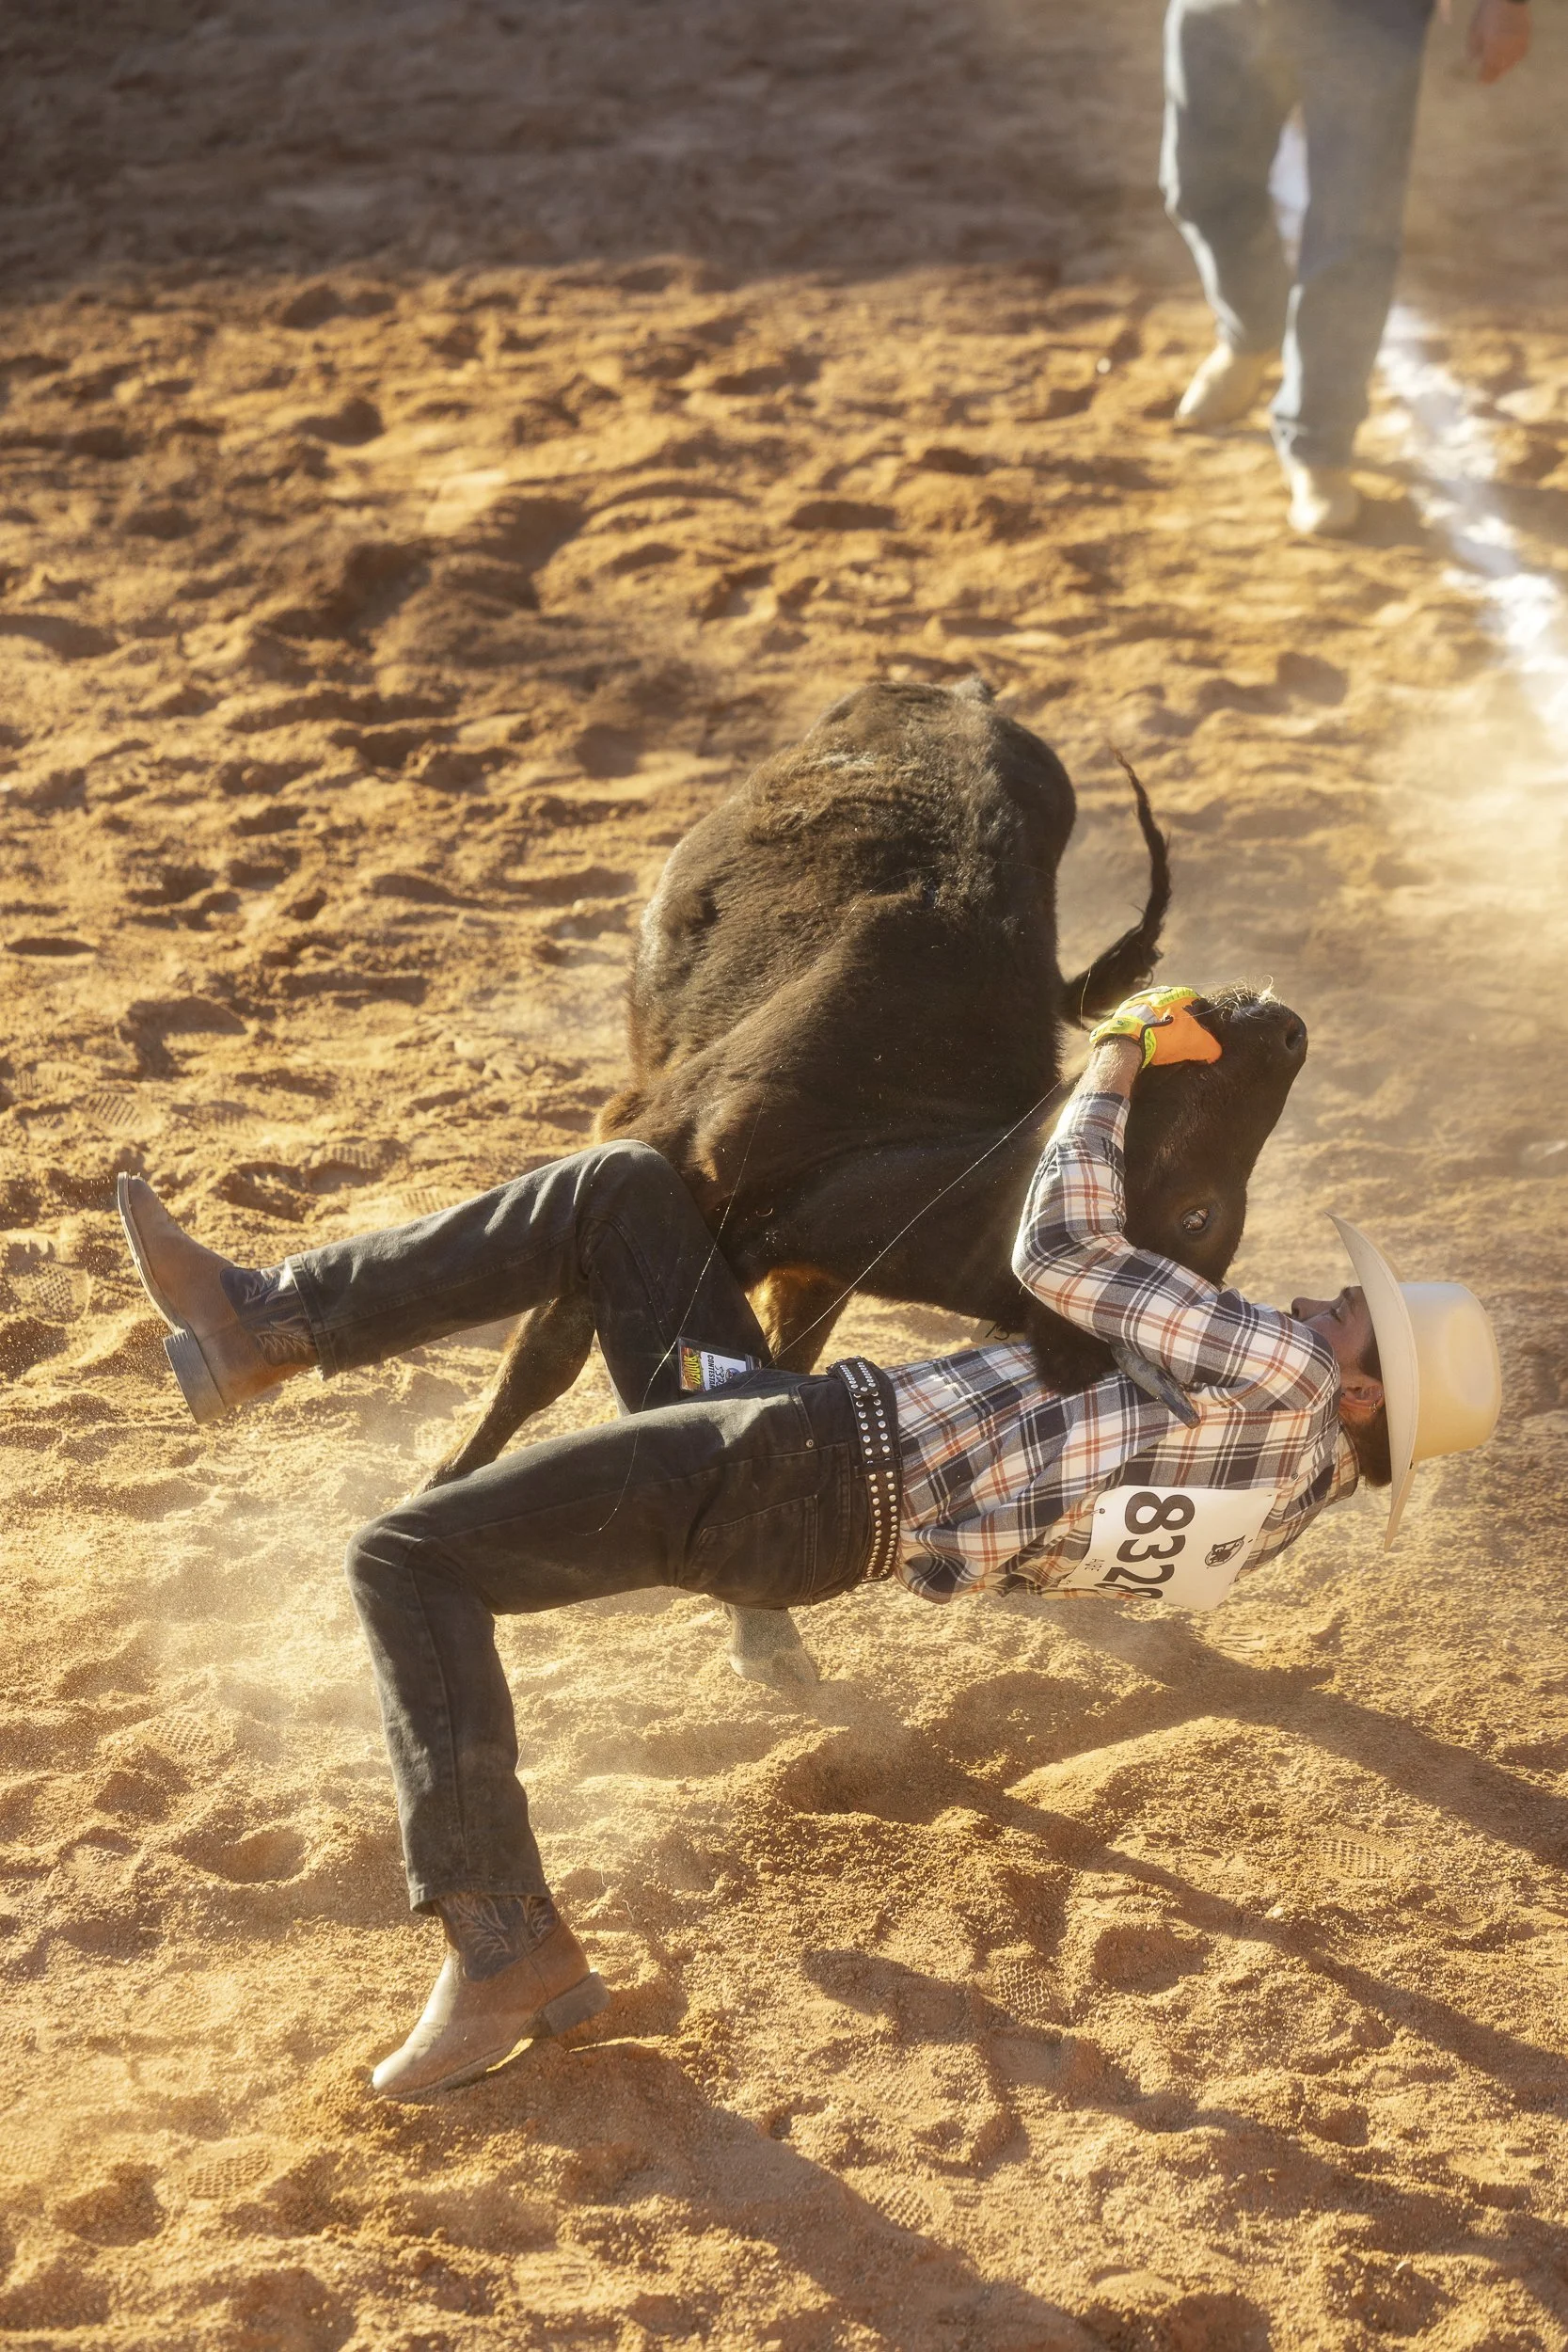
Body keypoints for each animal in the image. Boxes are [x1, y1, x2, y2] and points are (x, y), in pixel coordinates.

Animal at [424, 678, 1307, 1684]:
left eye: (1201, 1219)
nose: (1290, 1031)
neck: (872, 1141)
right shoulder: (650, 1146)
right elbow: (539, 1361)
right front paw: (448, 1479)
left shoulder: (810, 1276)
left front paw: (763, 1635)